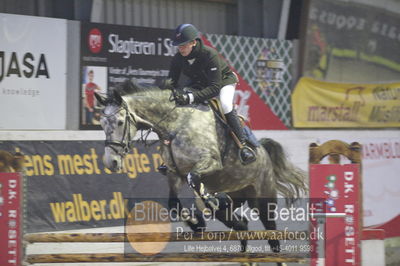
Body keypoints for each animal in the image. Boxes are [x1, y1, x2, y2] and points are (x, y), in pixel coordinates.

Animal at [95, 81, 308, 260]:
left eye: (120, 122)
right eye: (102, 124)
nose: (111, 162)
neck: (175, 124)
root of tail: (263, 151)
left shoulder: (209, 162)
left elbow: (195, 178)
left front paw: (208, 207)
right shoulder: (174, 173)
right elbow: (173, 203)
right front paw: (195, 222)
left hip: (262, 198)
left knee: (271, 232)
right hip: (237, 195)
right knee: (240, 223)